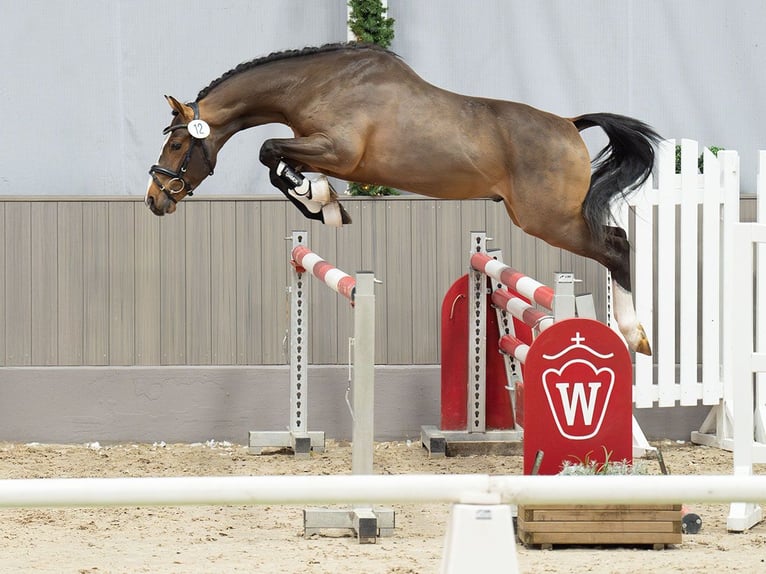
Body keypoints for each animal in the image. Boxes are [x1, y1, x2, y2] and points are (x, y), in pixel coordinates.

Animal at [148, 42, 660, 356]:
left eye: (177, 144)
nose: (156, 199)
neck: (318, 83)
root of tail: (569, 124)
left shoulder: (338, 150)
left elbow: (269, 150)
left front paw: (317, 199)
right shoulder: (325, 152)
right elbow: (275, 162)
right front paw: (322, 202)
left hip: (549, 220)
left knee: (617, 245)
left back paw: (633, 334)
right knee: (615, 242)